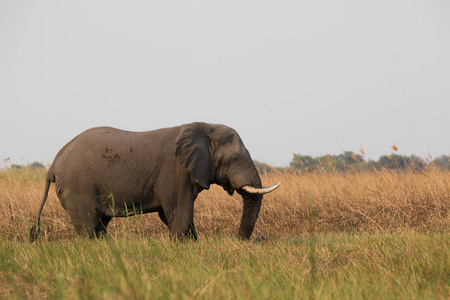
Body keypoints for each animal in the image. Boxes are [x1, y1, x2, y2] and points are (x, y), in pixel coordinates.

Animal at [28, 122, 280, 241]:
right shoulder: (176, 171)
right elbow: (179, 213)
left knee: (99, 224)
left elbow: (174, 216)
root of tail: (53, 165)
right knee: (89, 226)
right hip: (78, 186)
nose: (238, 241)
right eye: (233, 159)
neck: (204, 127)